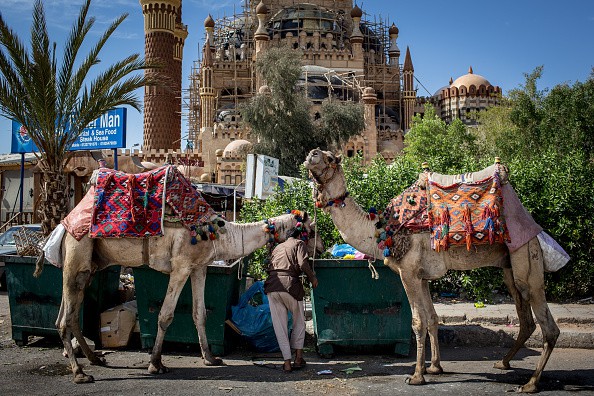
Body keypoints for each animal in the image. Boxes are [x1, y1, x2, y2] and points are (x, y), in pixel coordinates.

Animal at [38, 207, 320, 384]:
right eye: (312, 228)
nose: (321, 248)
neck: (220, 233)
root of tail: (62, 225)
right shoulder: (181, 266)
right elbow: (165, 315)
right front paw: (156, 364)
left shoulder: (199, 268)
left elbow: (199, 313)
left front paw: (211, 358)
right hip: (77, 256)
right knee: (63, 319)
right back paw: (80, 374)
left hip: (88, 267)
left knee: (69, 314)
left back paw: (95, 358)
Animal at [306, 149, 560, 392]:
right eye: (319, 152)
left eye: (331, 158)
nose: (311, 154)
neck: (380, 230)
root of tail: (536, 230)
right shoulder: (422, 276)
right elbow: (432, 318)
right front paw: (435, 367)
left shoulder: (408, 272)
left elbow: (418, 322)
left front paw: (417, 376)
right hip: (510, 268)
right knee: (526, 320)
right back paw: (503, 363)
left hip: (526, 257)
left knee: (549, 326)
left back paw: (530, 384)